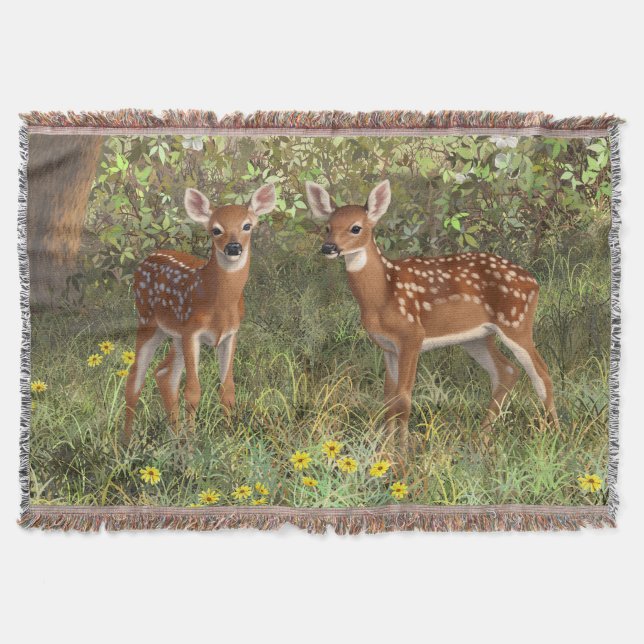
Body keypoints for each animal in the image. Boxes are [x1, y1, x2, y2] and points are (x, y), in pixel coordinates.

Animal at [123, 184, 276, 443]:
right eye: (216, 230)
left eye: (247, 226)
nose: (233, 247)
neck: (219, 304)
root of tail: (146, 258)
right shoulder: (192, 332)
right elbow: (193, 391)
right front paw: (194, 442)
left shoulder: (230, 334)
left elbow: (228, 389)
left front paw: (229, 436)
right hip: (147, 320)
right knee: (136, 376)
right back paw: (126, 442)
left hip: (175, 334)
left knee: (165, 374)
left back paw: (174, 437)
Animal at [305, 179, 559, 452]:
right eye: (328, 227)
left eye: (356, 228)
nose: (328, 247)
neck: (382, 294)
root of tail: (534, 282)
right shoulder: (387, 346)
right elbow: (388, 400)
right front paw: (385, 448)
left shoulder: (412, 335)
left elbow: (403, 399)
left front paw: (403, 452)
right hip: (477, 337)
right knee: (507, 372)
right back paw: (480, 438)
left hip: (516, 323)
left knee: (542, 373)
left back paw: (554, 435)